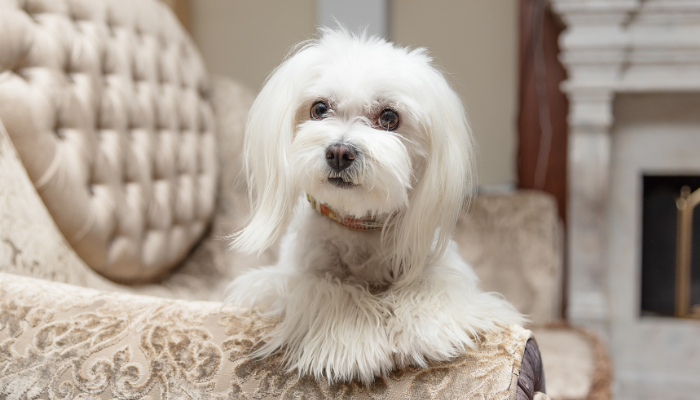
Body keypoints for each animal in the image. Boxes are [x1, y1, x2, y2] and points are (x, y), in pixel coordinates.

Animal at [226, 28, 524, 384]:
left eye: (389, 117)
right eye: (319, 108)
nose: (340, 153)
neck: (359, 223)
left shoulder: (445, 268)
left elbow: (434, 284)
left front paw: (426, 330)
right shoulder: (291, 279)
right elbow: (332, 290)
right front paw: (354, 342)